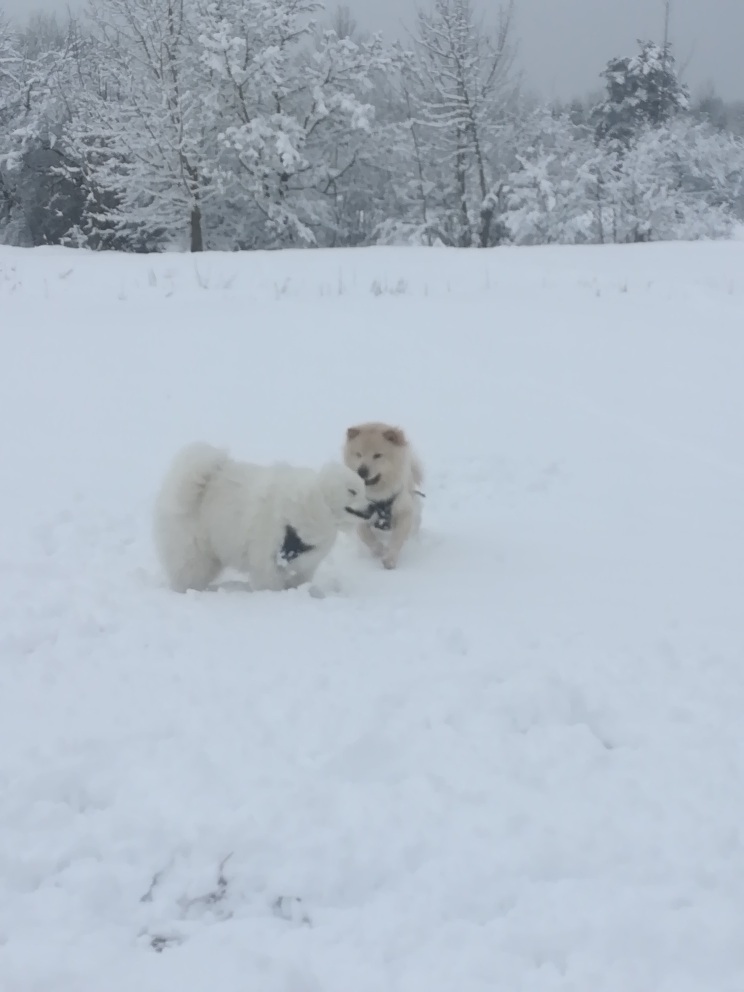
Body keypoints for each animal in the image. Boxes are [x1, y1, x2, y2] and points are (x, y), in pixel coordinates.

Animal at [153, 444, 372, 596]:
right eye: (352, 491)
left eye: (364, 490)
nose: (372, 507)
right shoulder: (266, 559)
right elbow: (269, 584)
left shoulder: (305, 564)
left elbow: (300, 578)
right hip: (194, 554)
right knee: (186, 575)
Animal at [342, 422, 424, 568]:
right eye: (359, 454)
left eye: (377, 455)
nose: (361, 471)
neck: (378, 497)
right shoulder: (359, 515)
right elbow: (366, 536)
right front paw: (379, 550)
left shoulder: (404, 512)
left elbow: (397, 538)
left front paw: (389, 559)